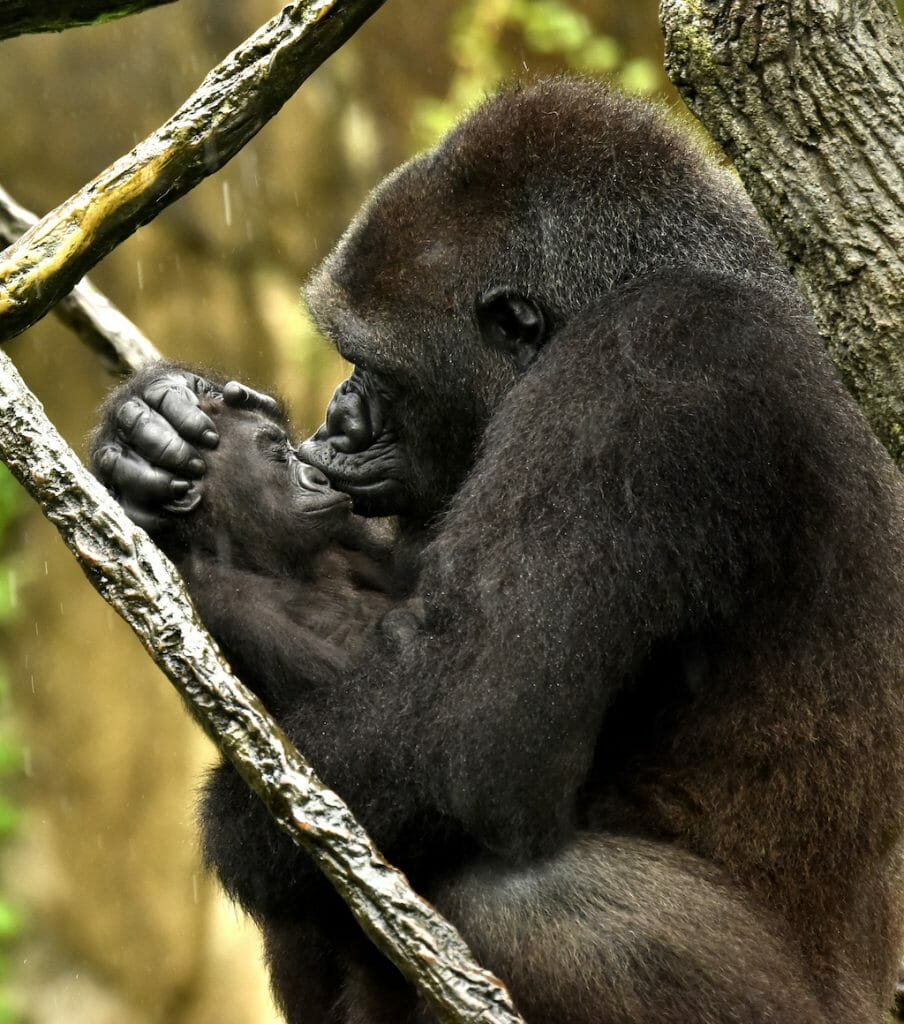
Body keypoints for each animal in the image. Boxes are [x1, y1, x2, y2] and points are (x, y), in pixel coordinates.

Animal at [90, 79, 904, 1024]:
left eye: (374, 368)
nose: (333, 419)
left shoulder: (646, 367)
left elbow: (475, 721)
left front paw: (239, 818)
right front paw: (148, 433)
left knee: (516, 901)